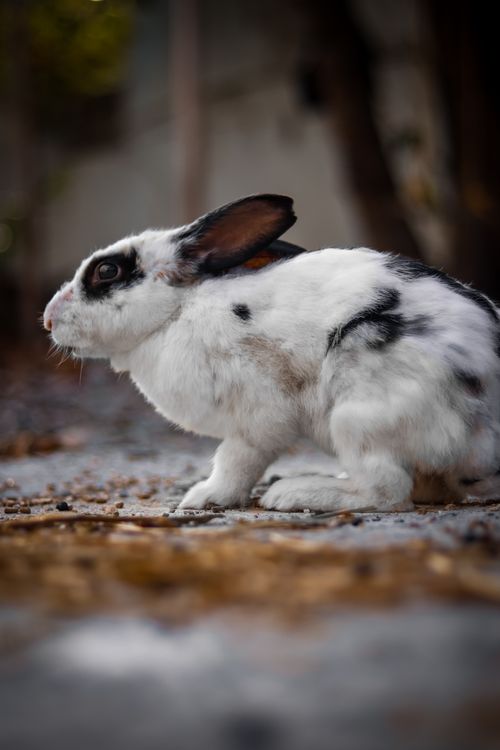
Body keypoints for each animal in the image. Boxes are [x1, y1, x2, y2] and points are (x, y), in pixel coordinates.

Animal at [43, 193, 500, 513]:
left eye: (106, 271)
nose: (47, 320)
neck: (176, 312)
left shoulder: (257, 416)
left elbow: (234, 460)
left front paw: (205, 497)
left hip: (361, 411)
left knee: (388, 492)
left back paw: (295, 493)